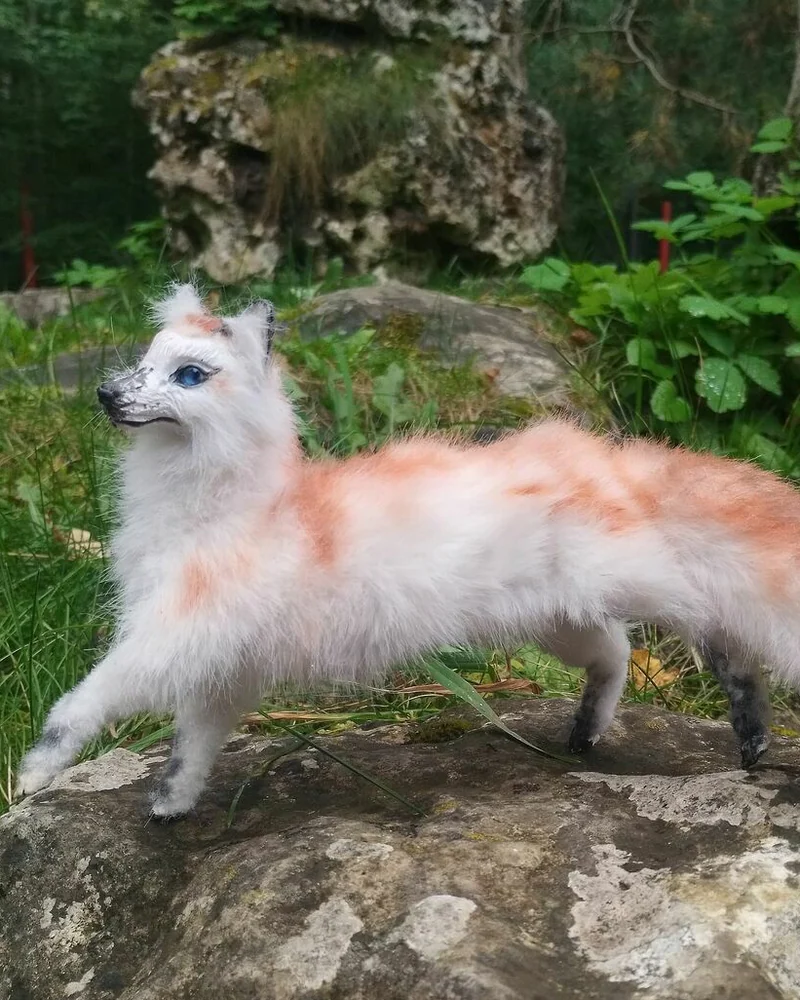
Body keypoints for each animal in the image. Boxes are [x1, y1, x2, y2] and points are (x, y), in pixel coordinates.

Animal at [15, 283, 798, 818]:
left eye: (188, 376)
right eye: (142, 361)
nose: (107, 394)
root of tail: (603, 456)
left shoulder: (173, 635)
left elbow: (83, 702)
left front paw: (34, 774)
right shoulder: (222, 666)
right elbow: (192, 746)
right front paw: (170, 805)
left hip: (645, 579)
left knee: (716, 629)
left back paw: (750, 727)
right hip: (560, 616)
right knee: (617, 650)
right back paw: (588, 734)